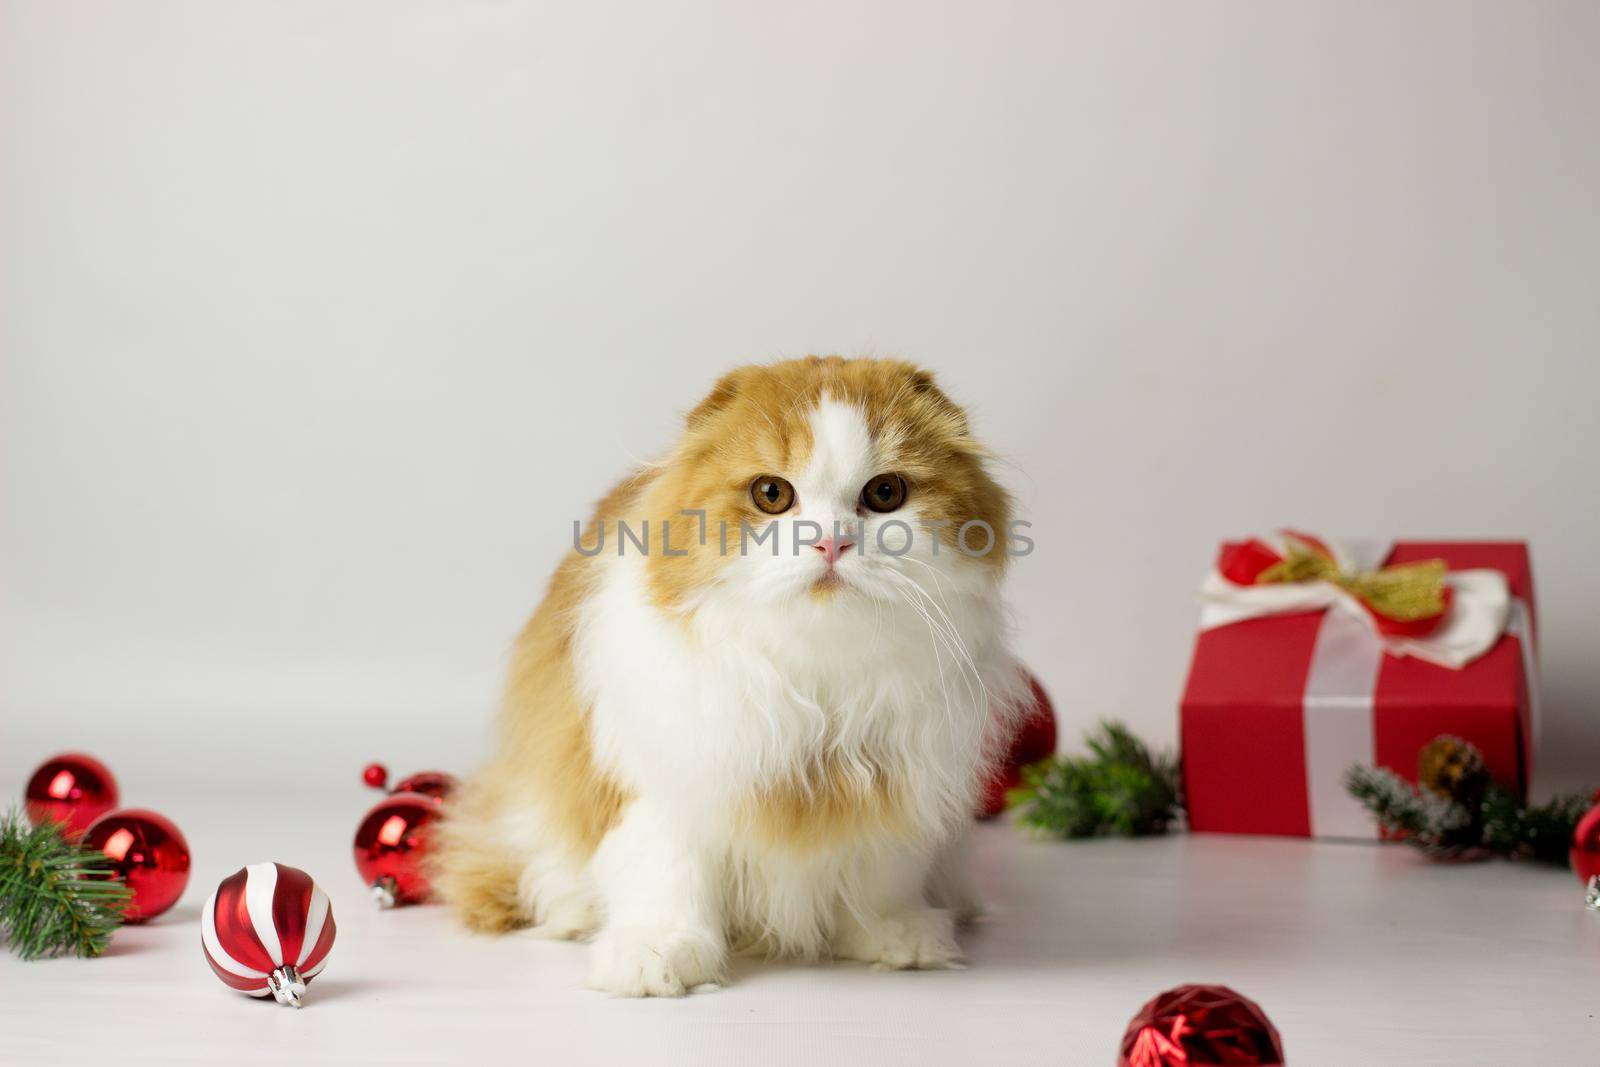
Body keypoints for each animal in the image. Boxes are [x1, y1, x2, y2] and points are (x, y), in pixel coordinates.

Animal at [432, 355, 1024, 998]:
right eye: (772, 494)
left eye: (885, 493)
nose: (830, 542)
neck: (816, 674)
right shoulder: (658, 780)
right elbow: (665, 873)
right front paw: (656, 954)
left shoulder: (895, 778)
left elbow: (881, 876)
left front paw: (892, 934)